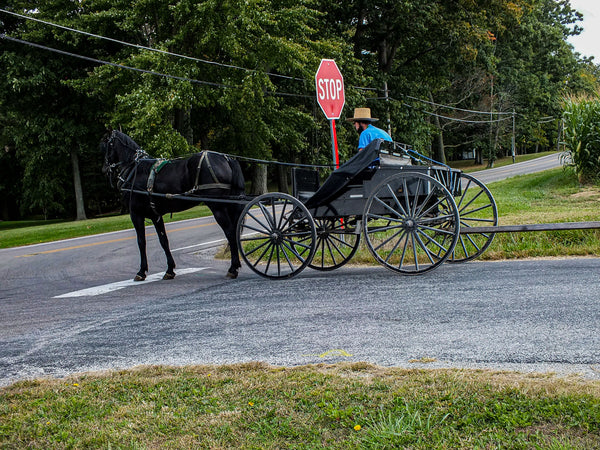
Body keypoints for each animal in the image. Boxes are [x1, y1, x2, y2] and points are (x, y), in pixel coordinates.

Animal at [101, 128, 246, 280]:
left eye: (105, 145)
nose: (104, 169)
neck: (135, 170)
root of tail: (226, 158)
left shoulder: (135, 213)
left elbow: (141, 242)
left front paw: (141, 271)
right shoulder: (155, 215)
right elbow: (163, 241)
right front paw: (170, 269)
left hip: (218, 207)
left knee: (230, 233)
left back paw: (233, 268)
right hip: (229, 205)